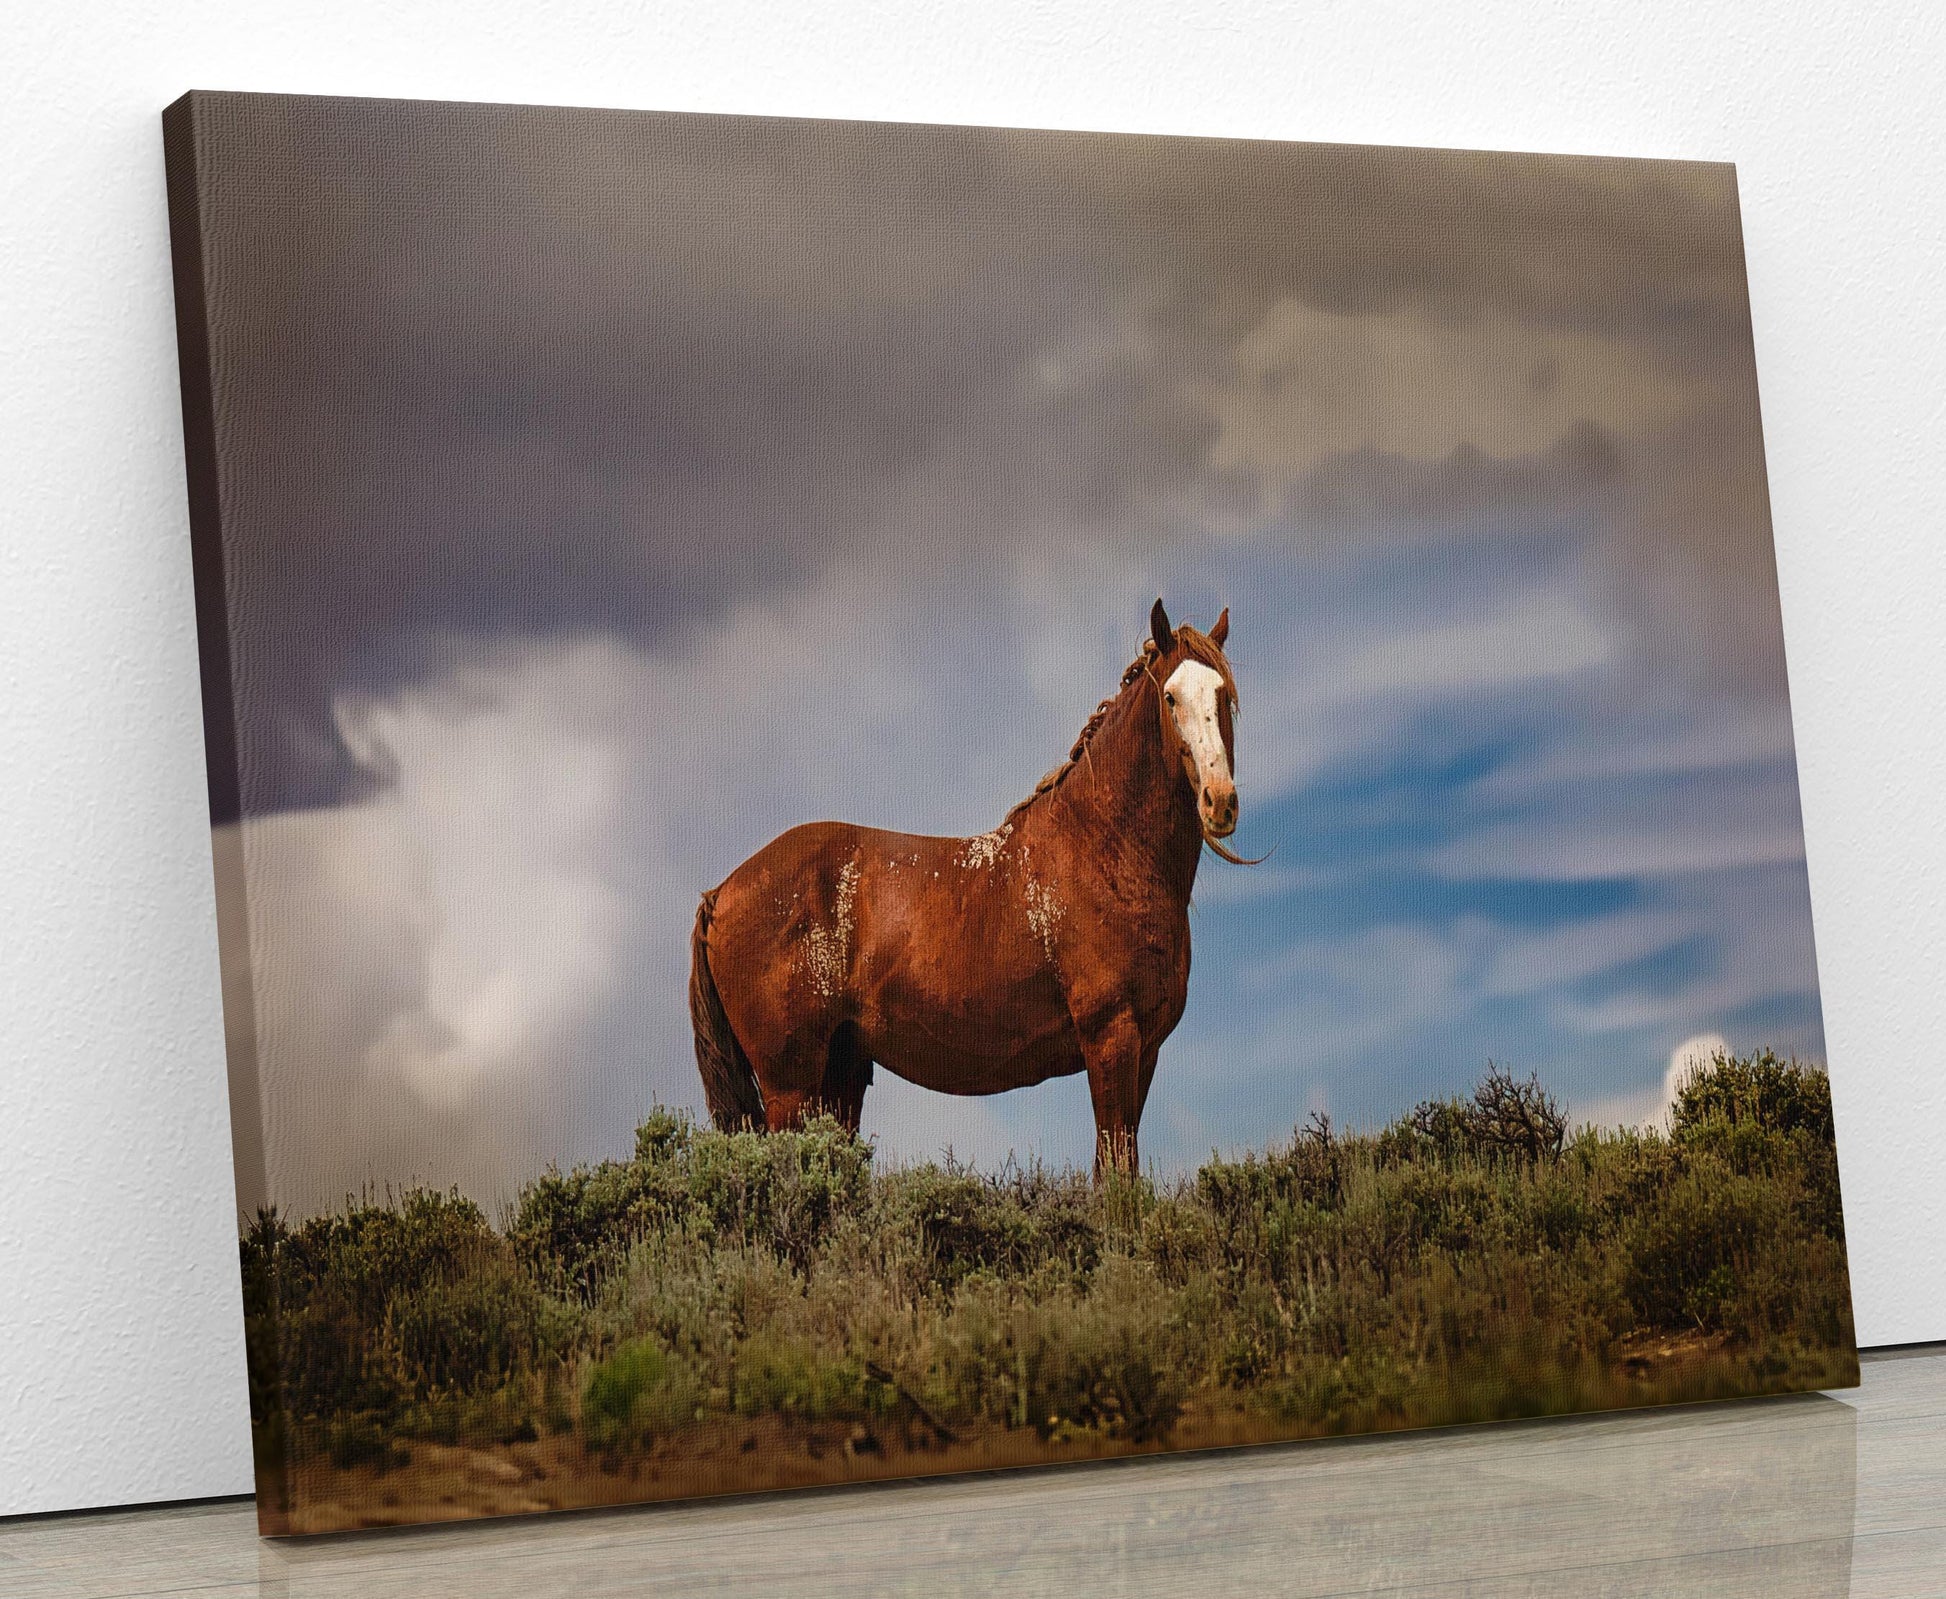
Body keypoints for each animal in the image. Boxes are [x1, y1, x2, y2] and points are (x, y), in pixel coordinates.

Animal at [692, 599, 1253, 1174]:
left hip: (838, 1073)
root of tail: (721, 893)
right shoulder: (1111, 1039)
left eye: (1223, 696)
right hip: (789, 1084)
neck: (1105, 849)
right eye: (1170, 696)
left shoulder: (1146, 1050)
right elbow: (1116, 1170)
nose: (1220, 801)